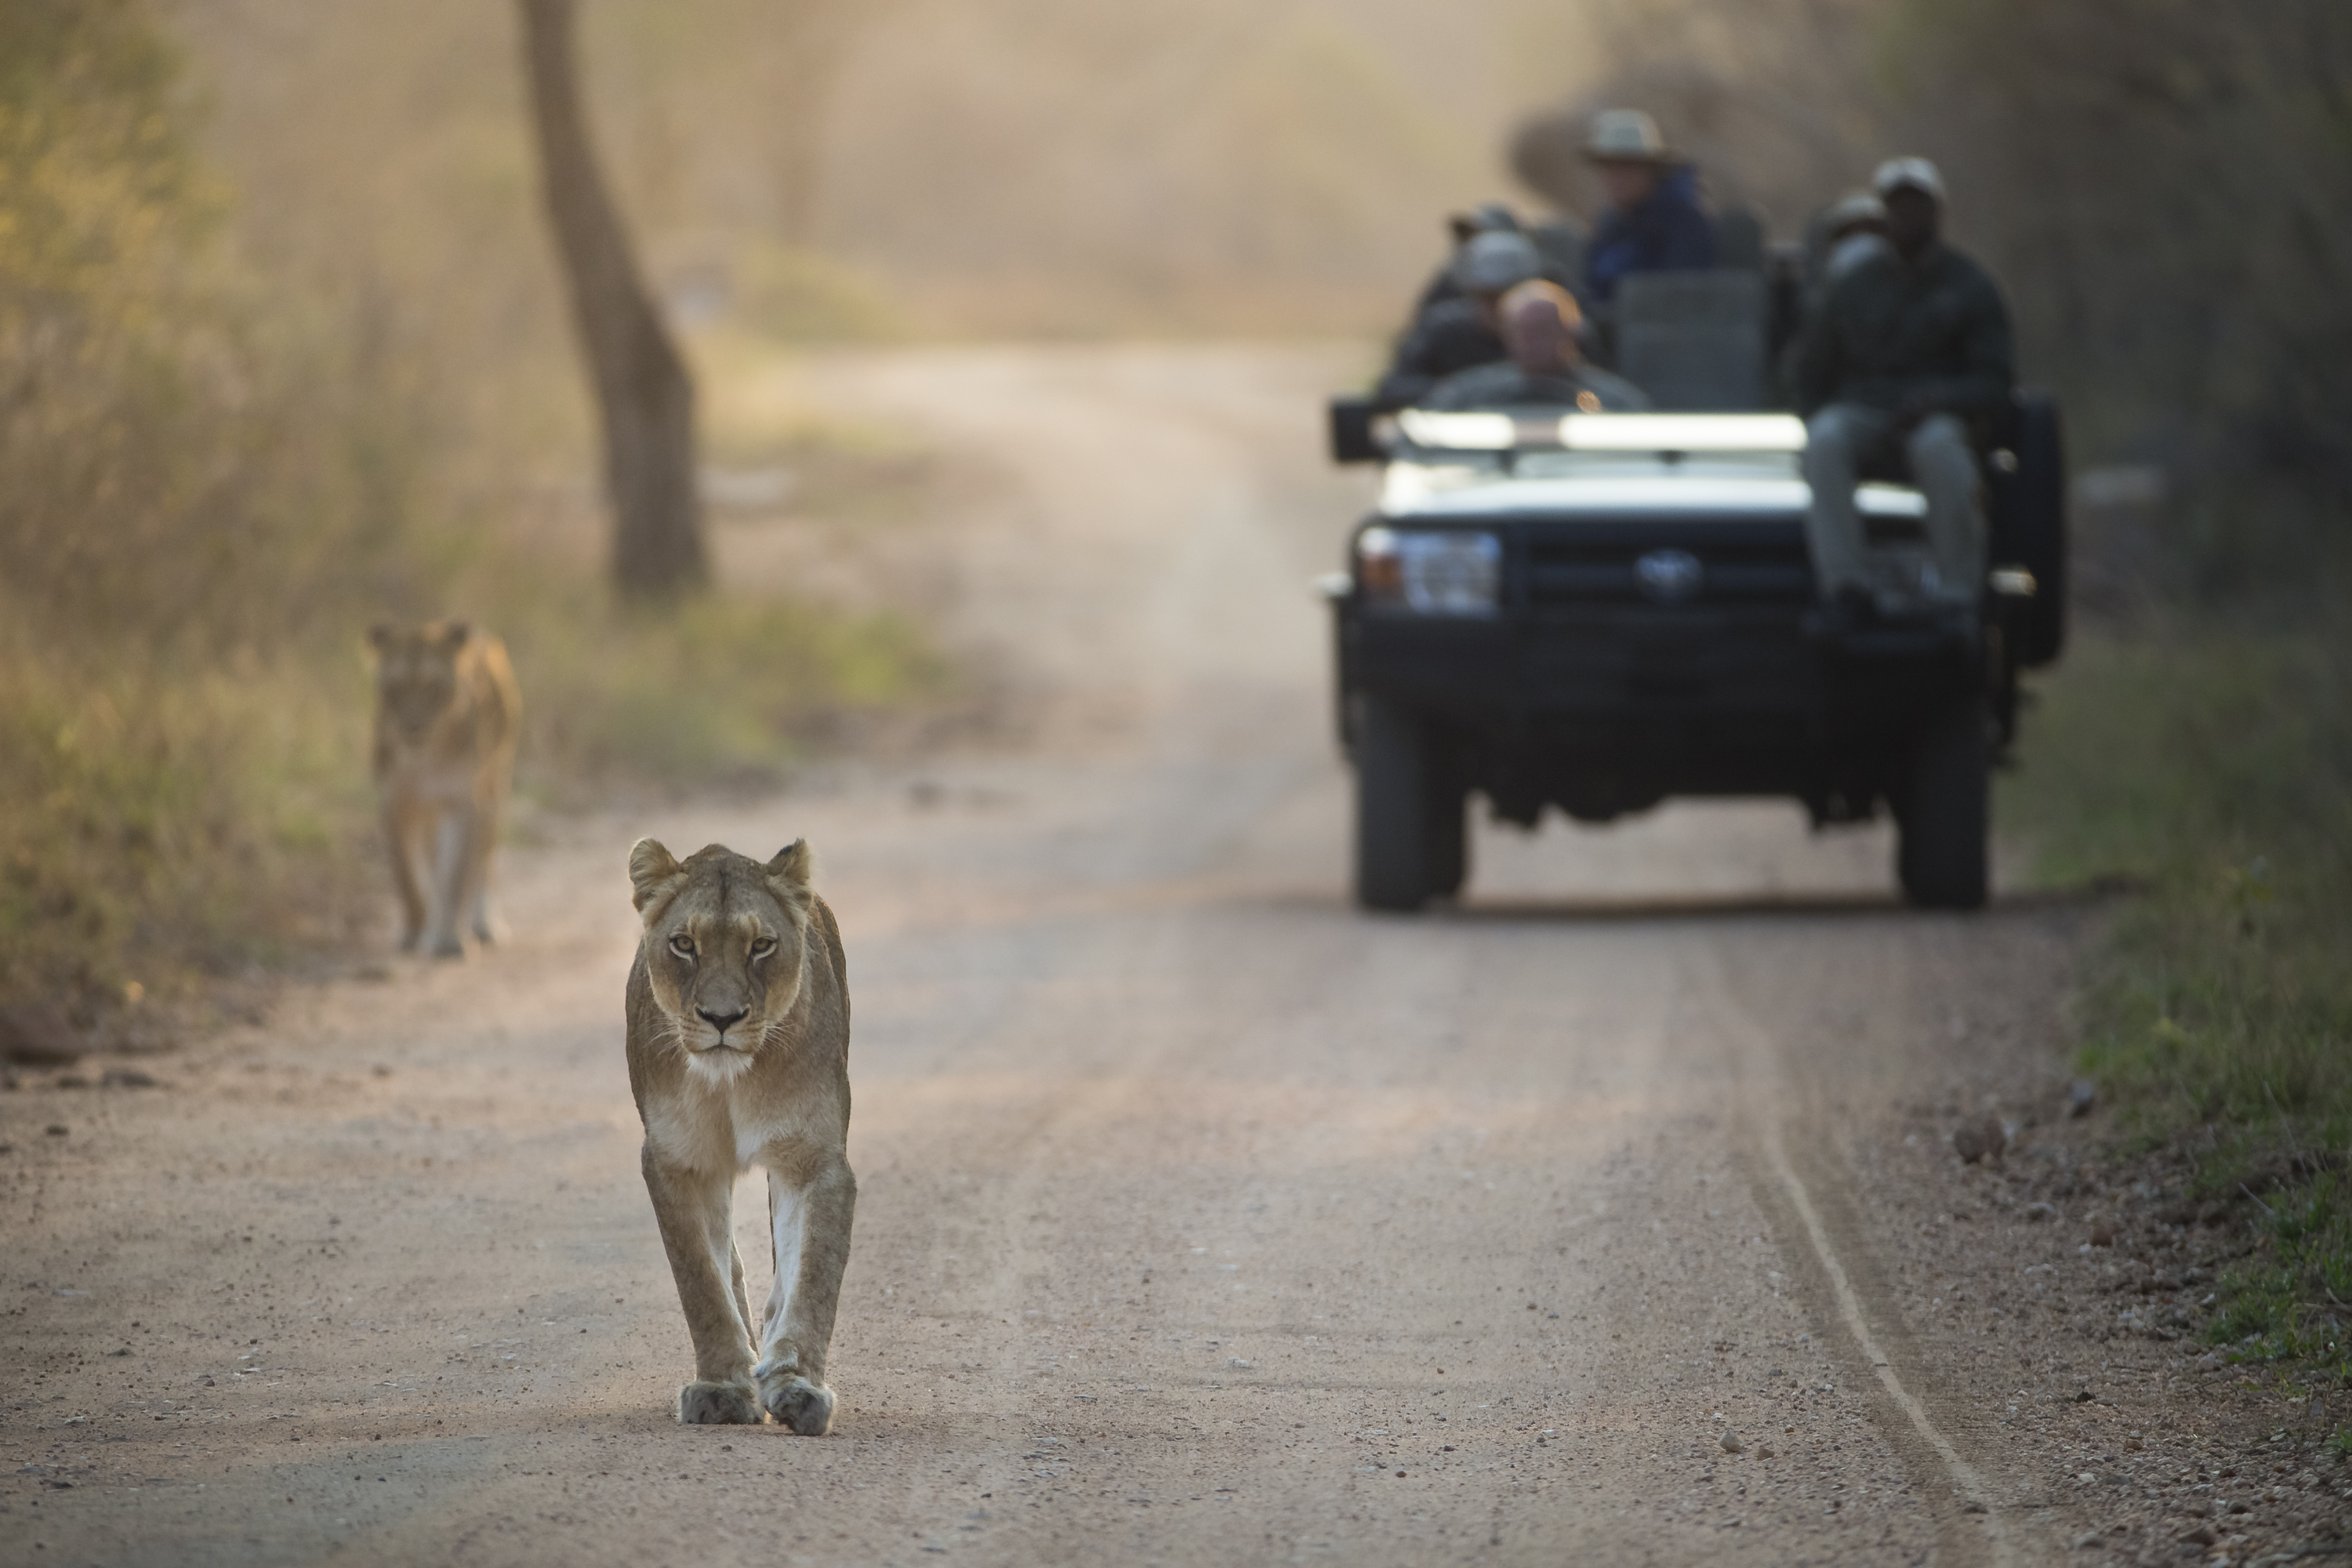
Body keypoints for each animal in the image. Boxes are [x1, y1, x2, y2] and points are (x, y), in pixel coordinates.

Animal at [368, 620, 520, 958]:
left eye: (432, 687)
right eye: (395, 688)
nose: (412, 728)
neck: (426, 755)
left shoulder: (464, 803)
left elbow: (456, 876)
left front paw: (449, 940)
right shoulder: (394, 803)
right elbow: (408, 879)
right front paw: (416, 932)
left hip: (495, 790)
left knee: (483, 862)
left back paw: (483, 925)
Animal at [624, 837, 856, 1432]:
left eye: (762, 946)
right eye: (684, 944)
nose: (722, 1018)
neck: (730, 1080)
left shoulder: (815, 1159)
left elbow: (812, 1276)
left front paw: (797, 1385)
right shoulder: (677, 1160)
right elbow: (702, 1281)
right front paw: (723, 1388)